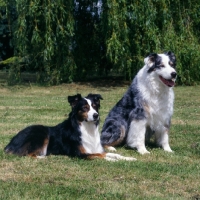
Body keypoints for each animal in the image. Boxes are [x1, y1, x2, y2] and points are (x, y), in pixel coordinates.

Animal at [4, 93, 136, 161]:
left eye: (95, 106)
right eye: (84, 108)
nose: (96, 115)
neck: (86, 128)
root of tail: (10, 143)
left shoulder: (96, 148)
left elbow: (109, 154)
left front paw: (128, 158)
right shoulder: (80, 154)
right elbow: (101, 156)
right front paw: (112, 160)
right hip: (41, 133)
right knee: (28, 154)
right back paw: (45, 157)